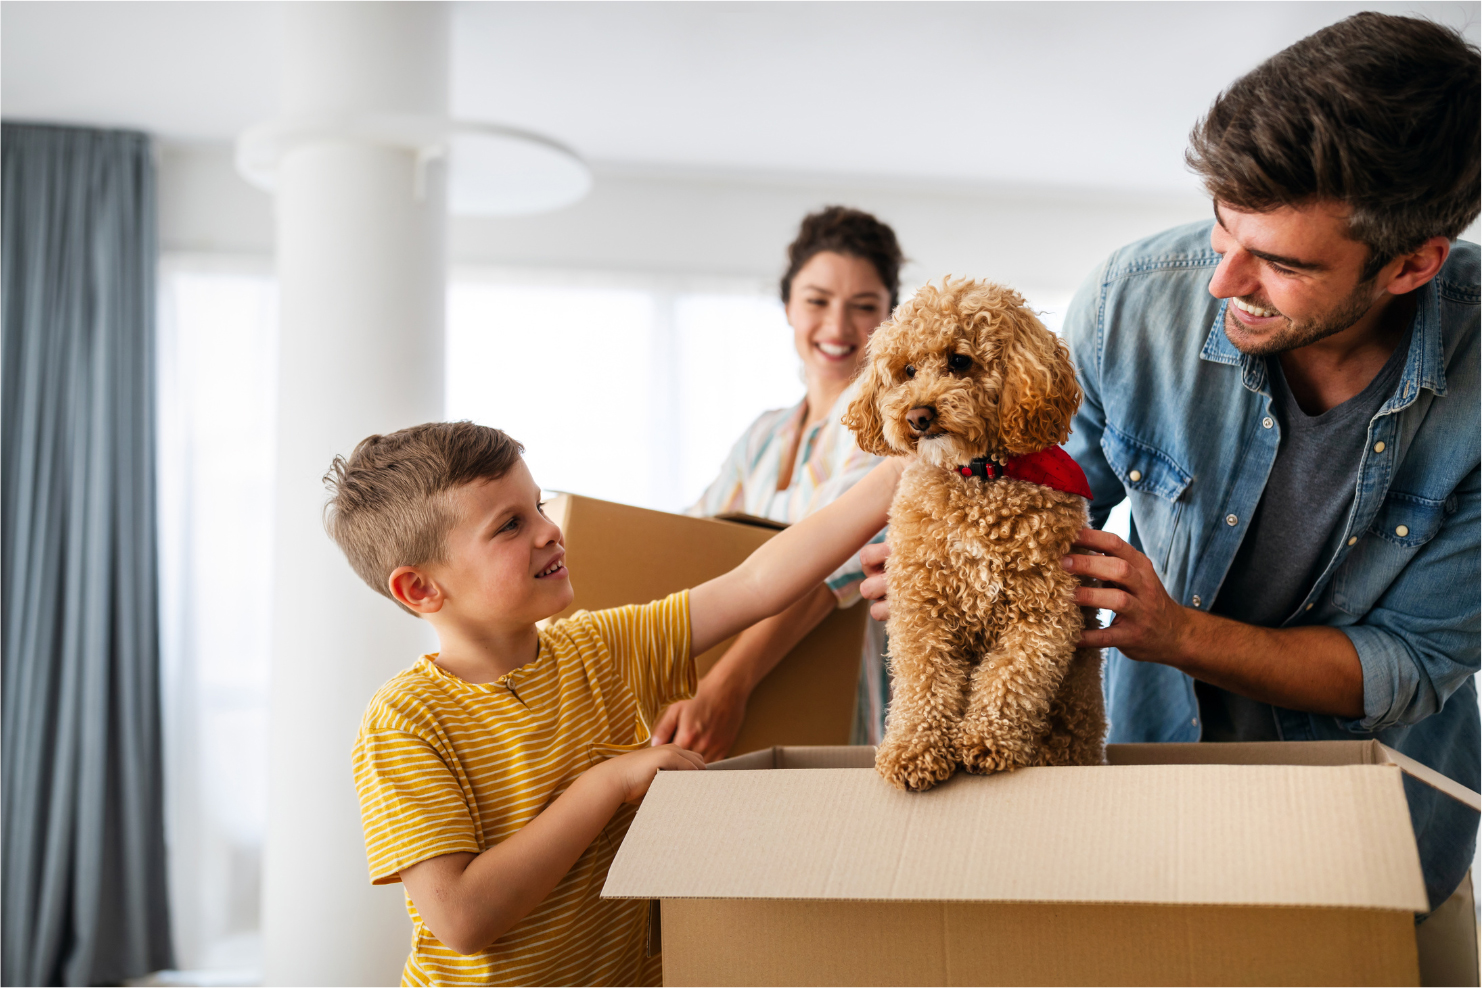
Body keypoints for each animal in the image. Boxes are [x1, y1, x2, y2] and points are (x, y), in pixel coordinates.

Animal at [847, 279, 1102, 793]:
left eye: (960, 361)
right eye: (907, 371)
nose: (918, 415)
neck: (978, 477)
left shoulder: (1043, 612)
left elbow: (1012, 677)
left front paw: (987, 740)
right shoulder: (921, 609)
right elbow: (923, 682)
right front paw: (914, 749)